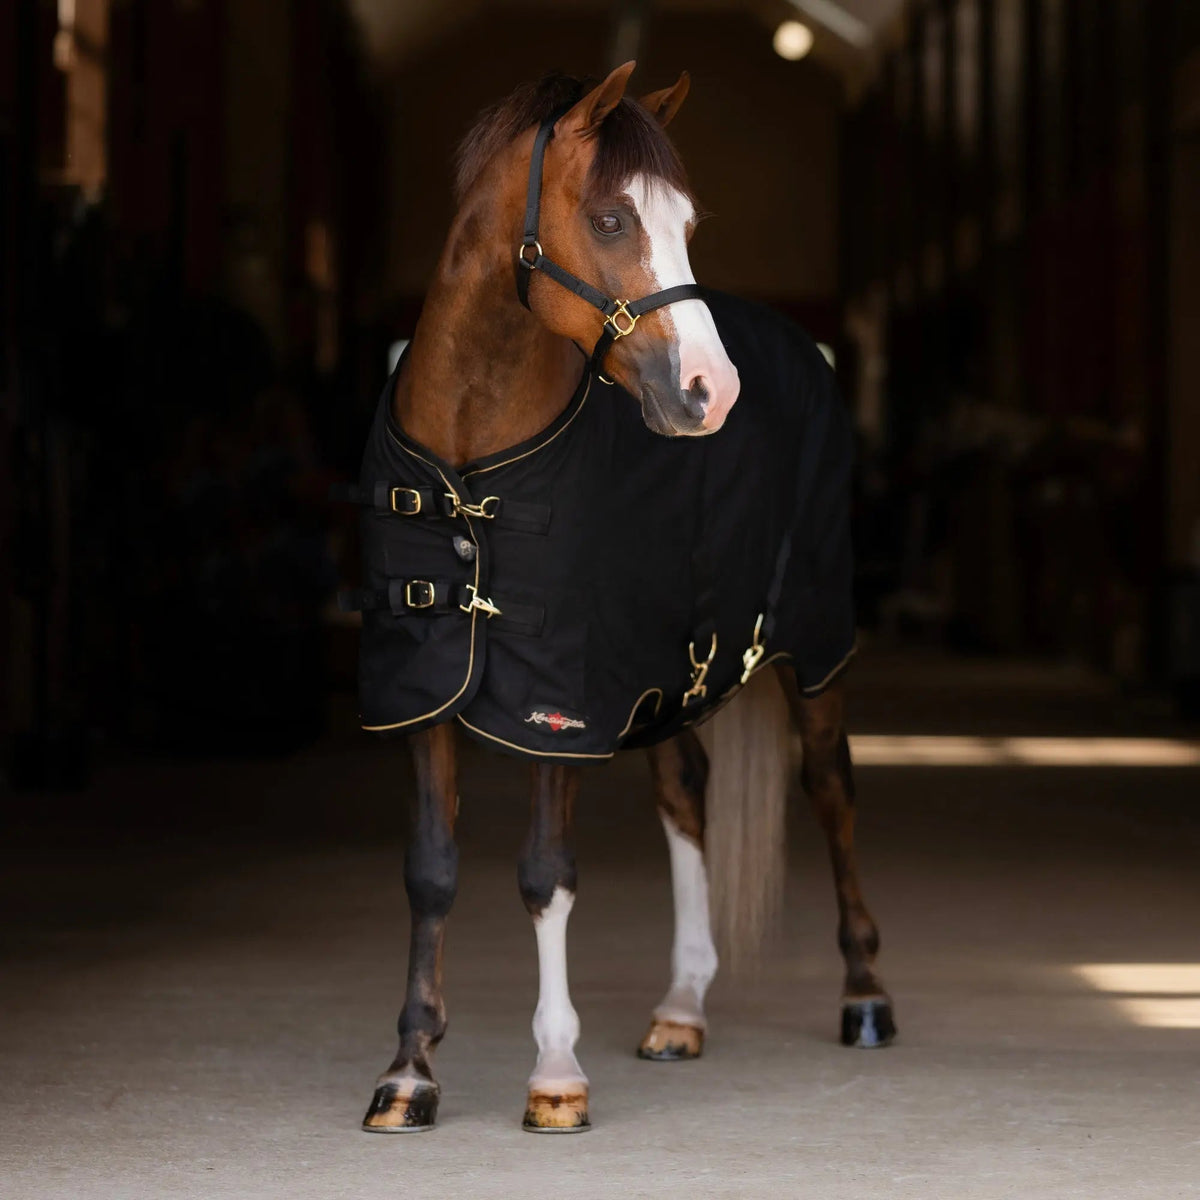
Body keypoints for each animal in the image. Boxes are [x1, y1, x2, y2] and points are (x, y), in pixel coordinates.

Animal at [344, 62, 894, 1134]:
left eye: (686, 220)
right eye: (608, 219)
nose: (710, 391)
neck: (472, 465)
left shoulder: (559, 703)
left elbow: (545, 876)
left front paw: (556, 1075)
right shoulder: (425, 689)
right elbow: (431, 872)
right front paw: (409, 1072)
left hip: (813, 650)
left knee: (832, 789)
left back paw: (864, 998)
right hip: (675, 667)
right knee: (687, 796)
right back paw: (680, 1010)